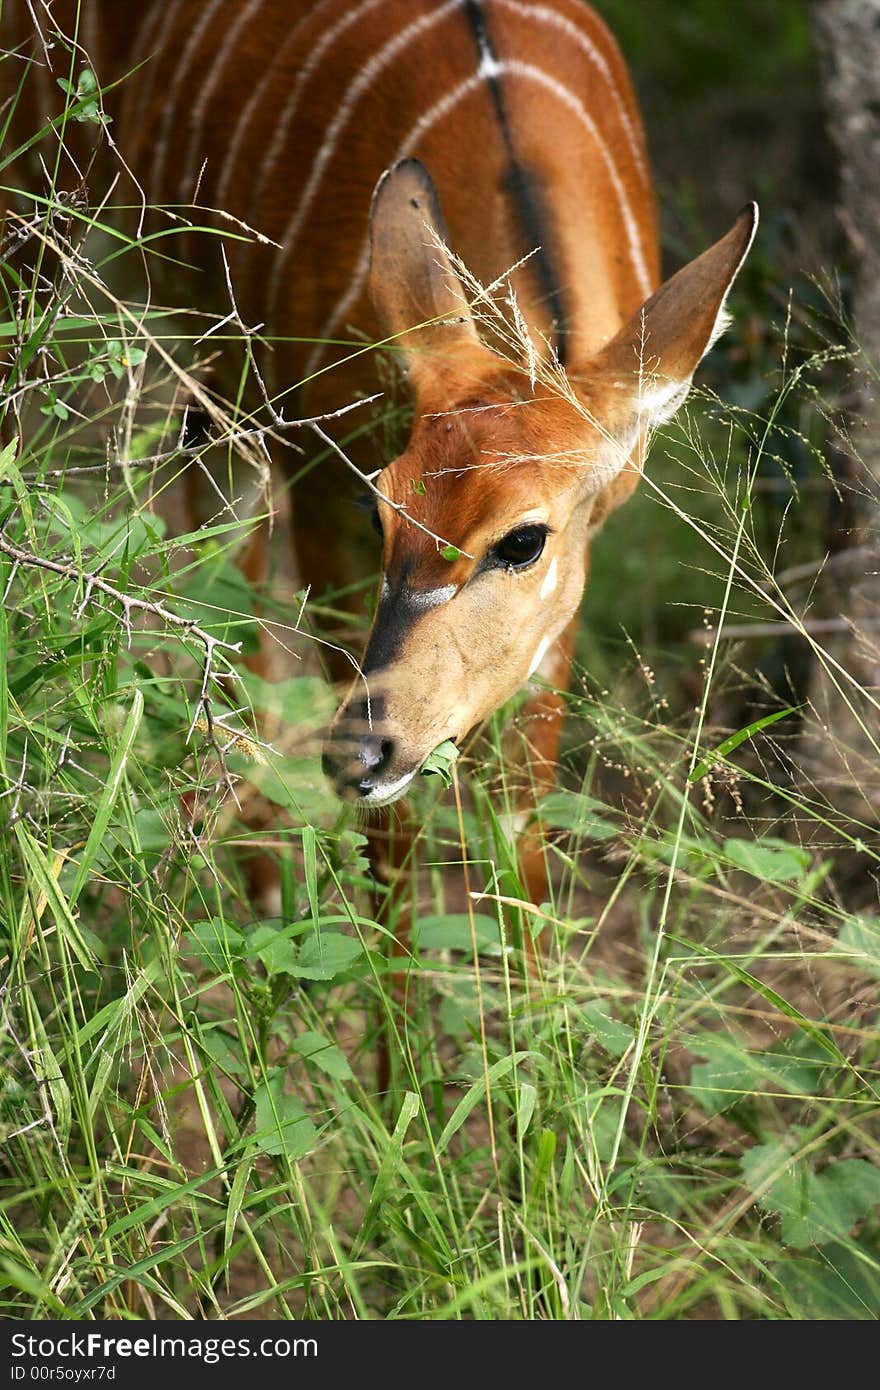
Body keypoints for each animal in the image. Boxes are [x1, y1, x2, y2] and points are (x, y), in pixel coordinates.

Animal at [1, 2, 756, 922]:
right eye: (381, 506)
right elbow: (391, 838)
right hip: (37, 216)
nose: (365, 754)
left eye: (523, 538)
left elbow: (522, 825)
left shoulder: (571, 571)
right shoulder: (324, 490)